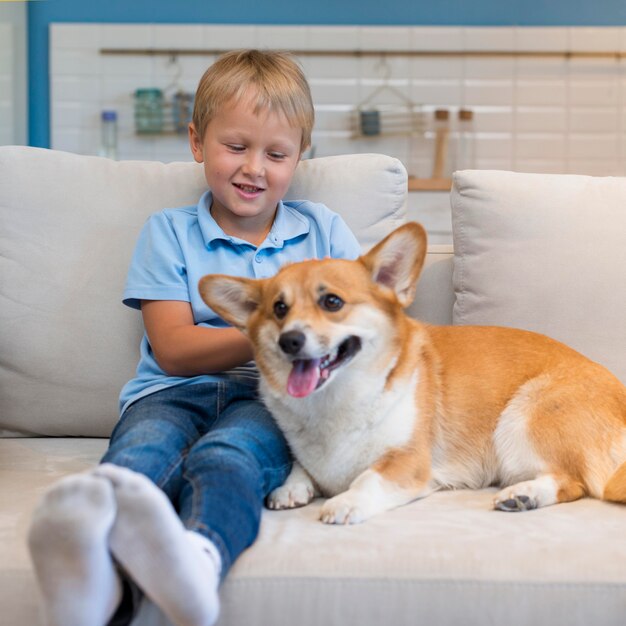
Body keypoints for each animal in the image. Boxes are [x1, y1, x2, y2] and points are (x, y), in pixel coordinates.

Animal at [199, 222, 624, 524]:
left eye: (332, 302)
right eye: (279, 309)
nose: (290, 340)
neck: (337, 402)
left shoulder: (408, 462)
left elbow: (367, 477)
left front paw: (346, 501)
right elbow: (301, 468)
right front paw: (292, 488)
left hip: (520, 419)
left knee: (576, 482)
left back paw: (524, 495)